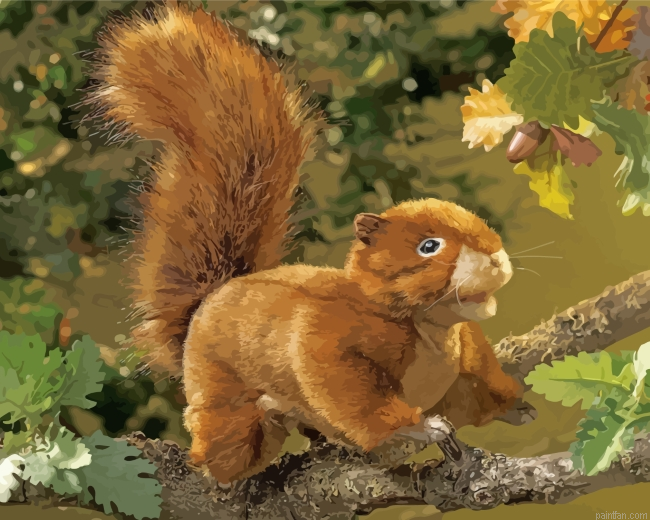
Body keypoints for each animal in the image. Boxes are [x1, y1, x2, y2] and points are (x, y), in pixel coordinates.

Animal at [85, 3, 522, 484]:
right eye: (429, 246)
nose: (496, 258)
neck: (432, 330)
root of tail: (206, 303)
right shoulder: (329, 336)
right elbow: (348, 392)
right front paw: (418, 428)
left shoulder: (466, 359)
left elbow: (477, 390)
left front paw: (515, 405)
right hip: (221, 397)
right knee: (225, 449)